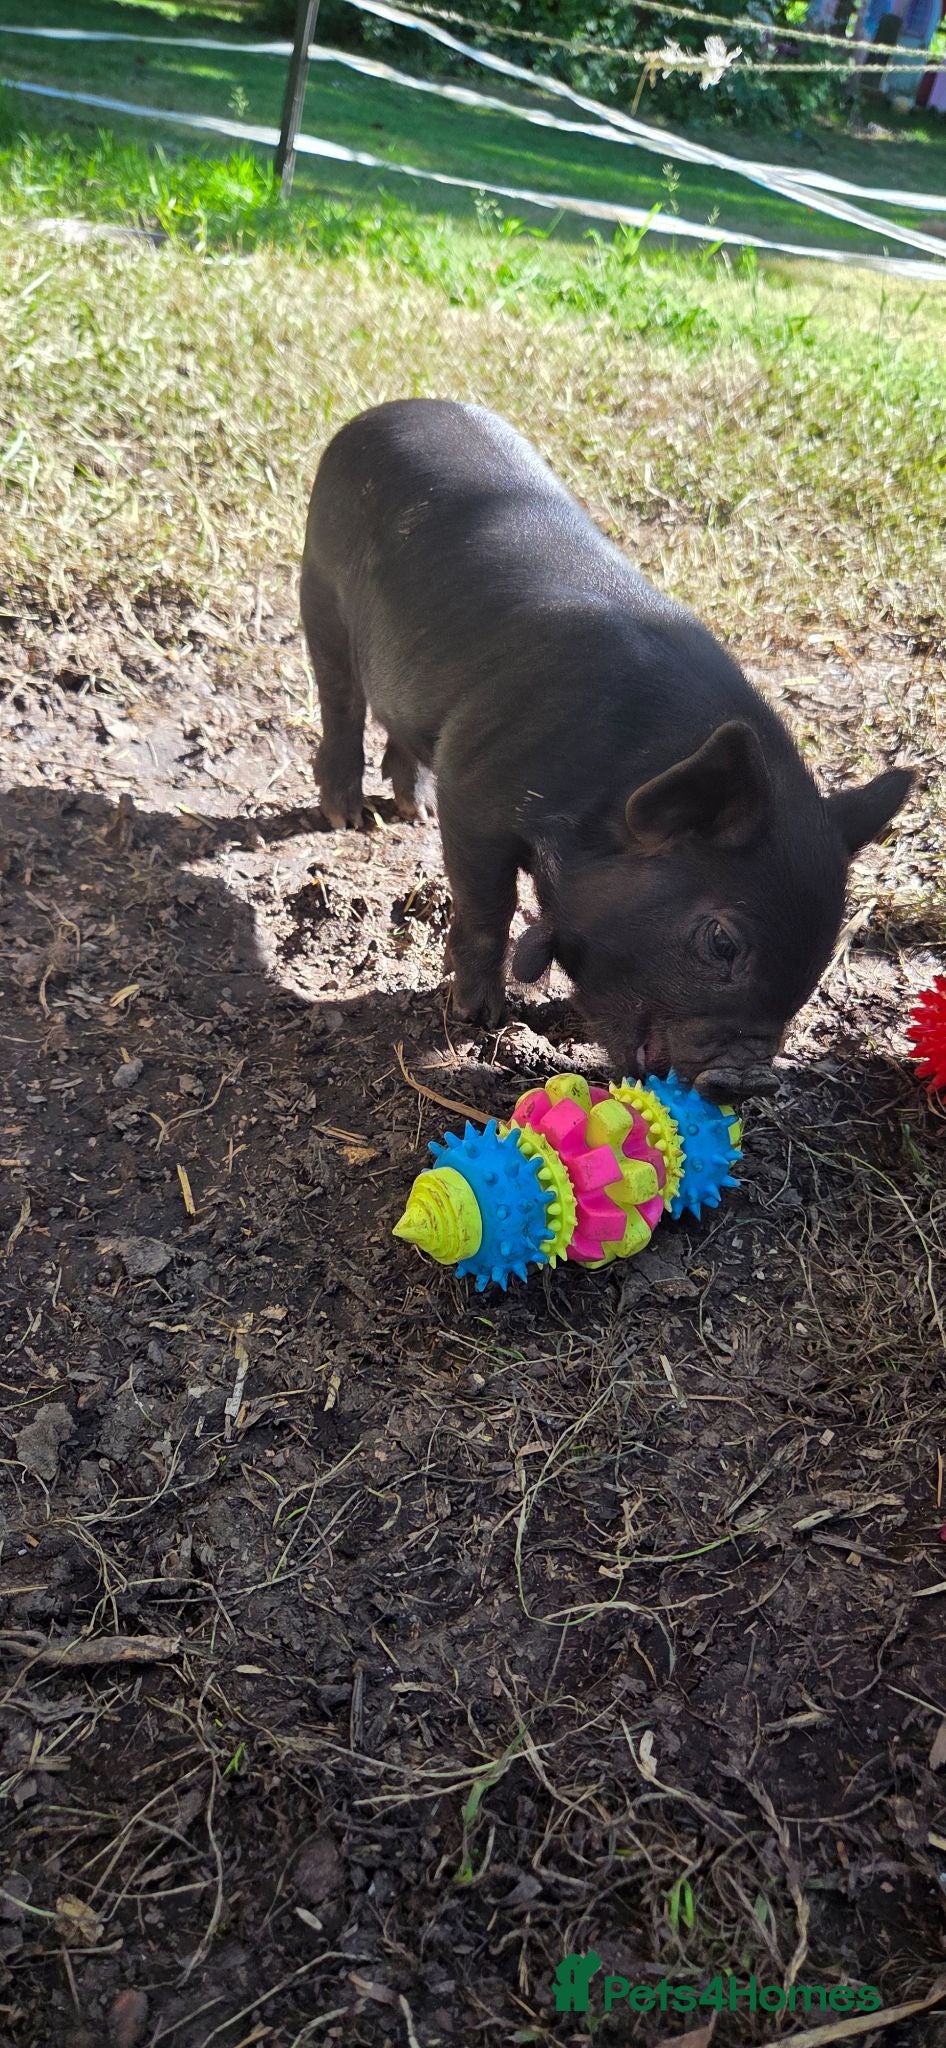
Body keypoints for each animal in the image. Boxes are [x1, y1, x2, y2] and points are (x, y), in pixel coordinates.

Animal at [300, 399, 913, 1102]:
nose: (748, 1079)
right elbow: (488, 907)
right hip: (318, 586)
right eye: (722, 942)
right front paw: (480, 1019)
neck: (603, 796)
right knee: (340, 701)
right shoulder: (473, 787)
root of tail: (387, 410)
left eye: (821, 957)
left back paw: (411, 811)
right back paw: (346, 816)